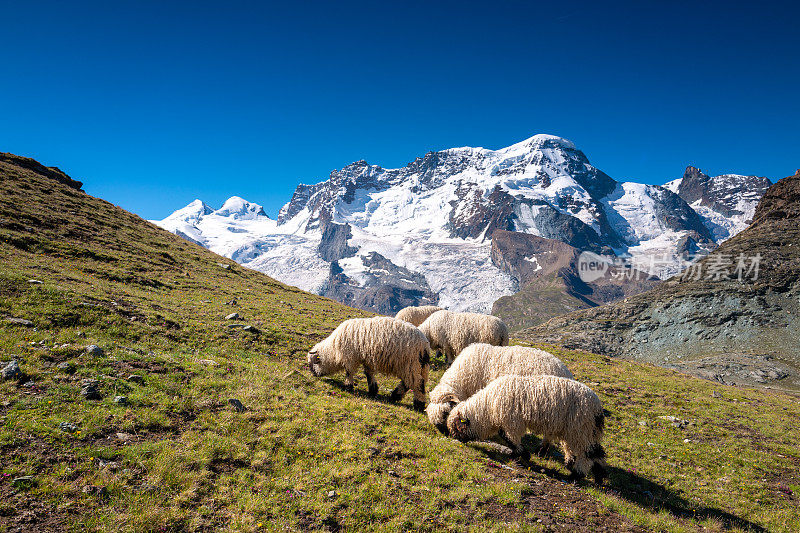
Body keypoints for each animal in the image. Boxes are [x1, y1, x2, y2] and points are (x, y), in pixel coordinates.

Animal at [446, 374, 608, 482]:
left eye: (457, 428)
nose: (455, 439)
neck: (488, 407)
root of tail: (597, 407)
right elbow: (505, 436)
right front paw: (517, 453)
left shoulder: (512, 421)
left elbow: (509, 437)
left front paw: (522, 454)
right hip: (580, 431)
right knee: (594, 451)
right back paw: (595, 473)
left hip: (580, 428)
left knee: (587, 453)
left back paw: (576, 475)